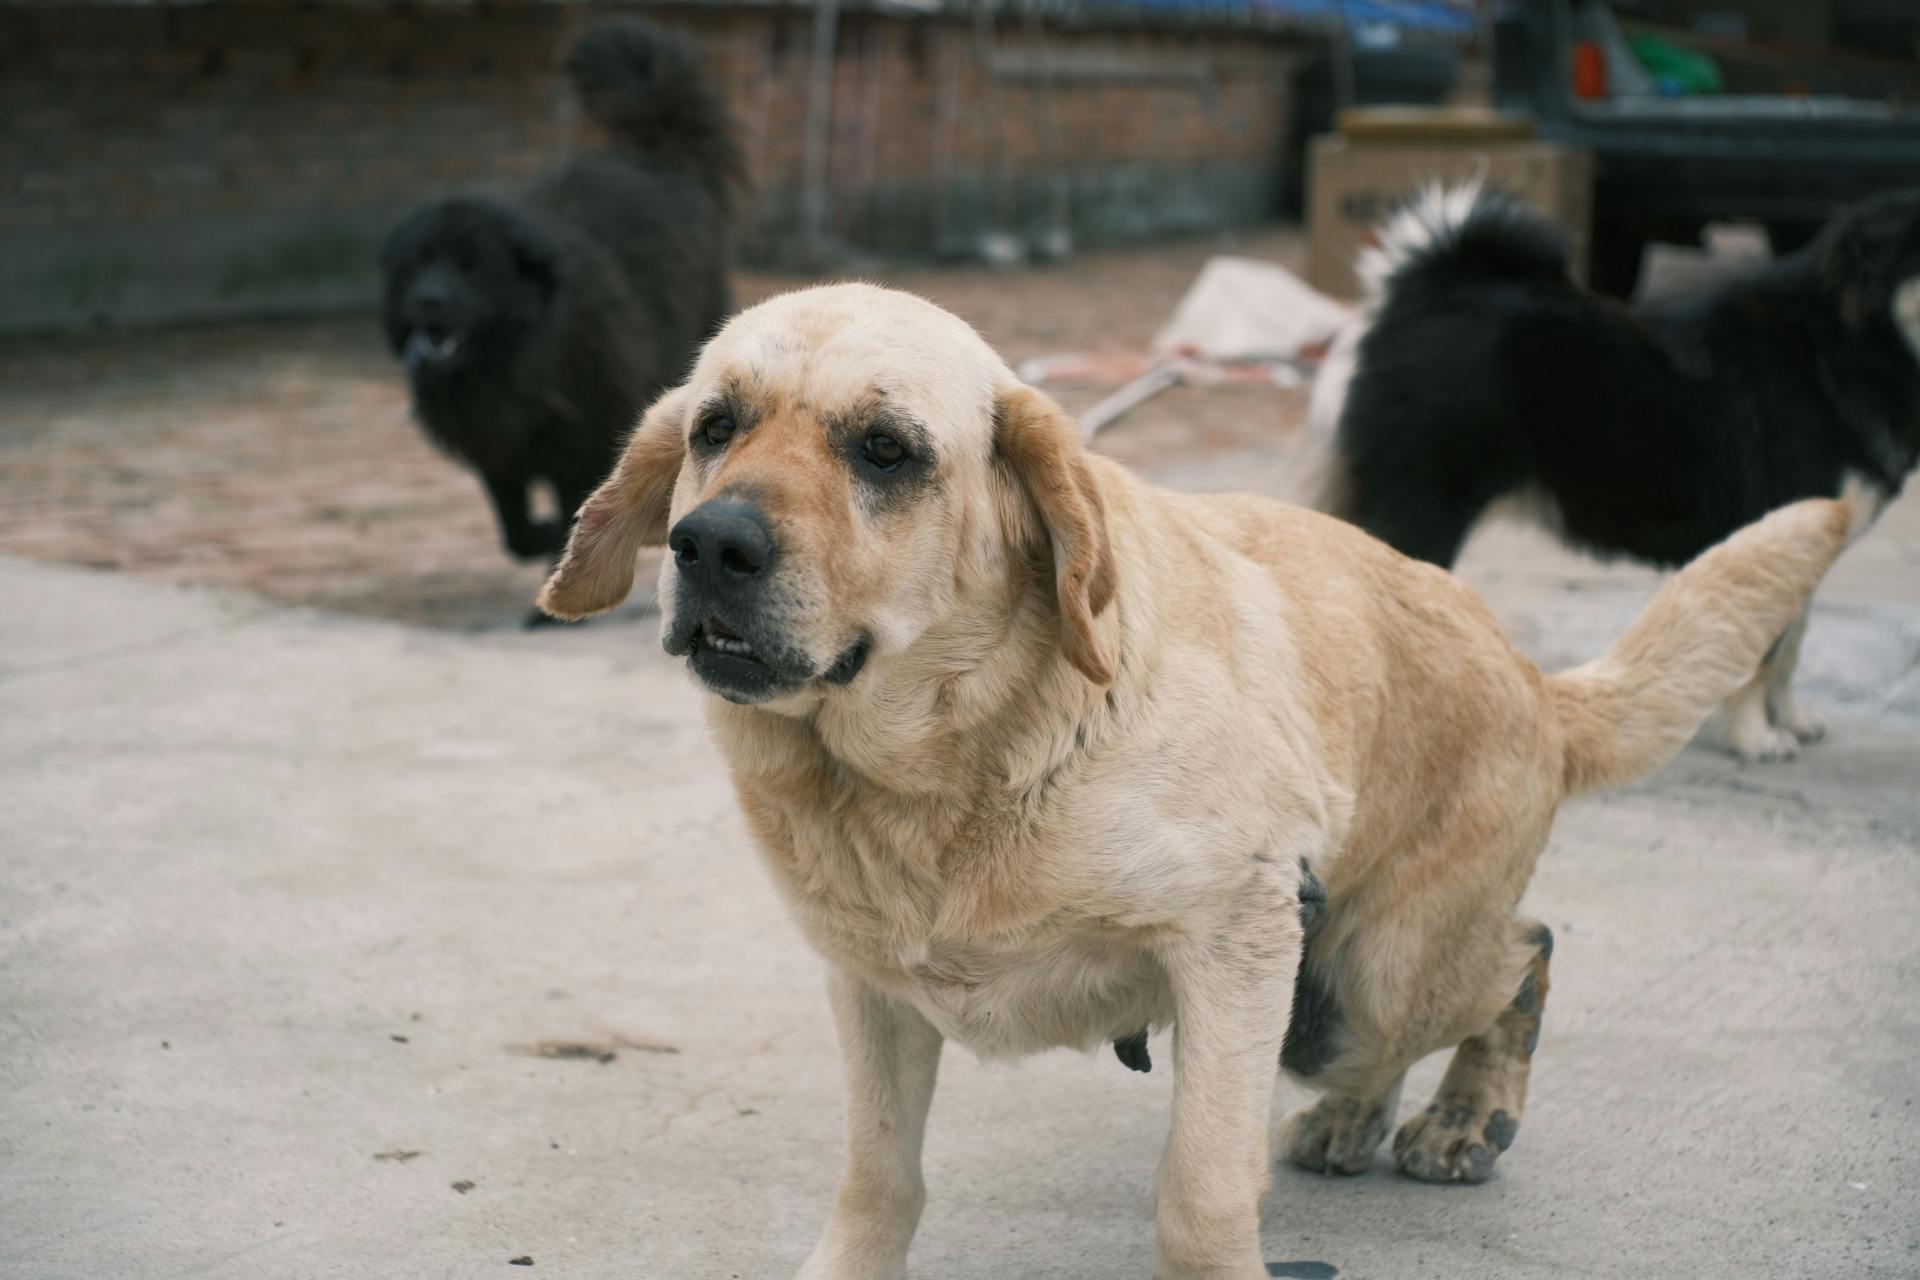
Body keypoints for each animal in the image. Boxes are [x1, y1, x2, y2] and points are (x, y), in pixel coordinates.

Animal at [378, 18, 737, 621]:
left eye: (473, 267)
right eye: (418, 262)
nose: (428, 300)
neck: (520, 353)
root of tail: (656, 161)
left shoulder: (584, 437)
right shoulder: (497, 446)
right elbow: (513, 528)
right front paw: (544, 536)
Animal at [541, 285, 1858, 1274]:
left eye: (885, 449)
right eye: (716, 424)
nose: (710, 543)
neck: (946, 762)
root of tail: (1533, 679)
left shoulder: (1235, 945)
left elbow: (1203, 1193)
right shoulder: (870, 988)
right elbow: (879, 1178)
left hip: (1370, 973)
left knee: (1526, 950)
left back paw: (1460, 1115)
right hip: (1336, 996)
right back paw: (1362, 1117)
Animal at [1313, 186, 1920, 767]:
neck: (1839, 348)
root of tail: (1426, 292)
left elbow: (1790, 649)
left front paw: (1790, 719)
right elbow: (1763, 655)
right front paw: (1757, 739)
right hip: (1427, 510)